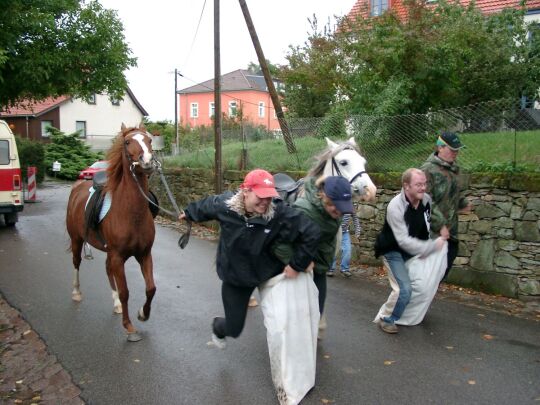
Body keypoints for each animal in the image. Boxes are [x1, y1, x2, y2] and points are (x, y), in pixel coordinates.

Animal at [66, 123, 156, 340]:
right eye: (128, 141)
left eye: (149, 140)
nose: (147, 161)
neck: (132, 213)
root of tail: (78, 186)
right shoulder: (118, 257)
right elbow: (125, 292)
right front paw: (129, 327)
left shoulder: (144, 254)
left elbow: (151, 288)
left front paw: (143, 313)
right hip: (76, 240)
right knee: (76, 263)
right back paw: (76, 293)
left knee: (107, 269)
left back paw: (115, 304)